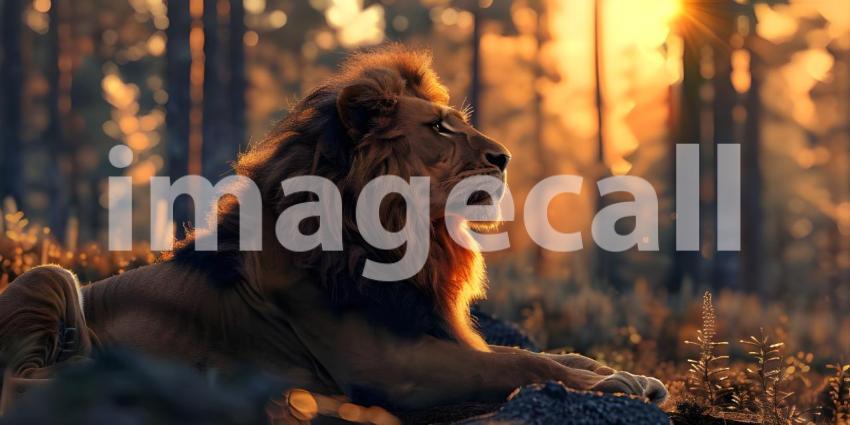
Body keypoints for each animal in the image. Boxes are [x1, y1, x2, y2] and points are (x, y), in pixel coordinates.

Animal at [0, 46, 666, 414]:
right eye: (440, 128)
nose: (504, 157)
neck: (410, 236)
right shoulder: (390, 368)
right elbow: (517, 365)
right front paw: (612, 385)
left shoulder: (431, 331)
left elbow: (540, 351)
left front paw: (625, 375)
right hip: (48, 277)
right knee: (30, 379)